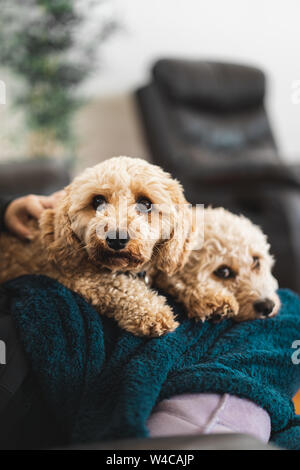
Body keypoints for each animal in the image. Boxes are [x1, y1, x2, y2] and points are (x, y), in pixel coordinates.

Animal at [0, 159, 195, 338]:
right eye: (98, 201)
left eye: (146, 203)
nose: (116, 239)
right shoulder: (81, 277)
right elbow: (118, 286)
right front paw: (151, 311)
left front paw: (200, 293)